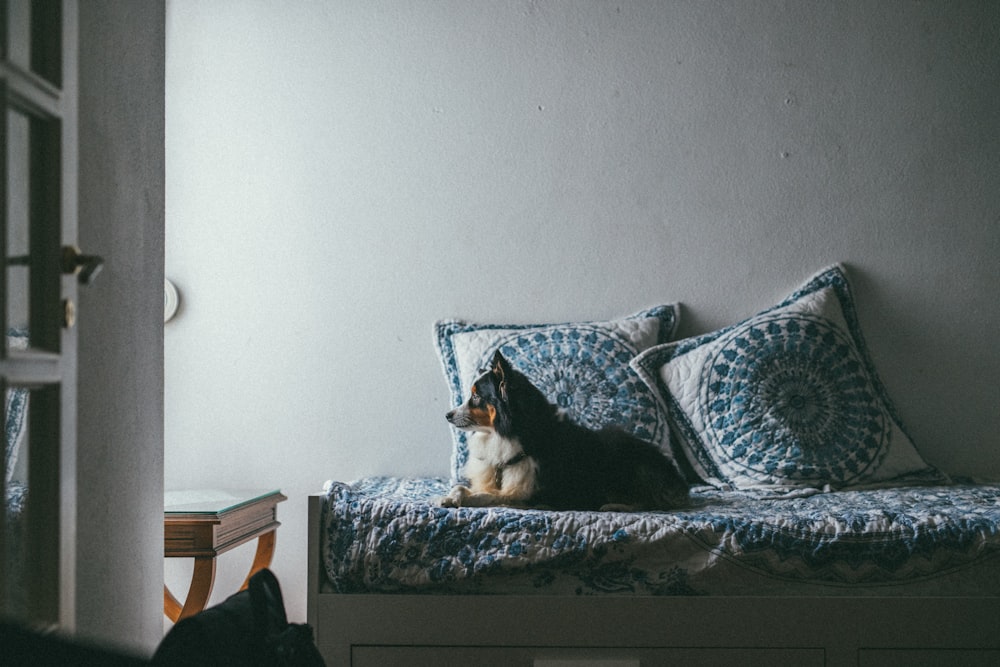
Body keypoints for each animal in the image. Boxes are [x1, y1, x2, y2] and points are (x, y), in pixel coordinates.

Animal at [442, 350, 692, 512]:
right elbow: (467, 488)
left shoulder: (532, 492)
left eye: (476, 397)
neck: (512, 430)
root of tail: (678, 480)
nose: (448, 415)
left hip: (627, 465)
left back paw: (614, 505)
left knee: (649, 501)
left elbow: (488, 496)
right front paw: (451, 496)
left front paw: (460, 498)